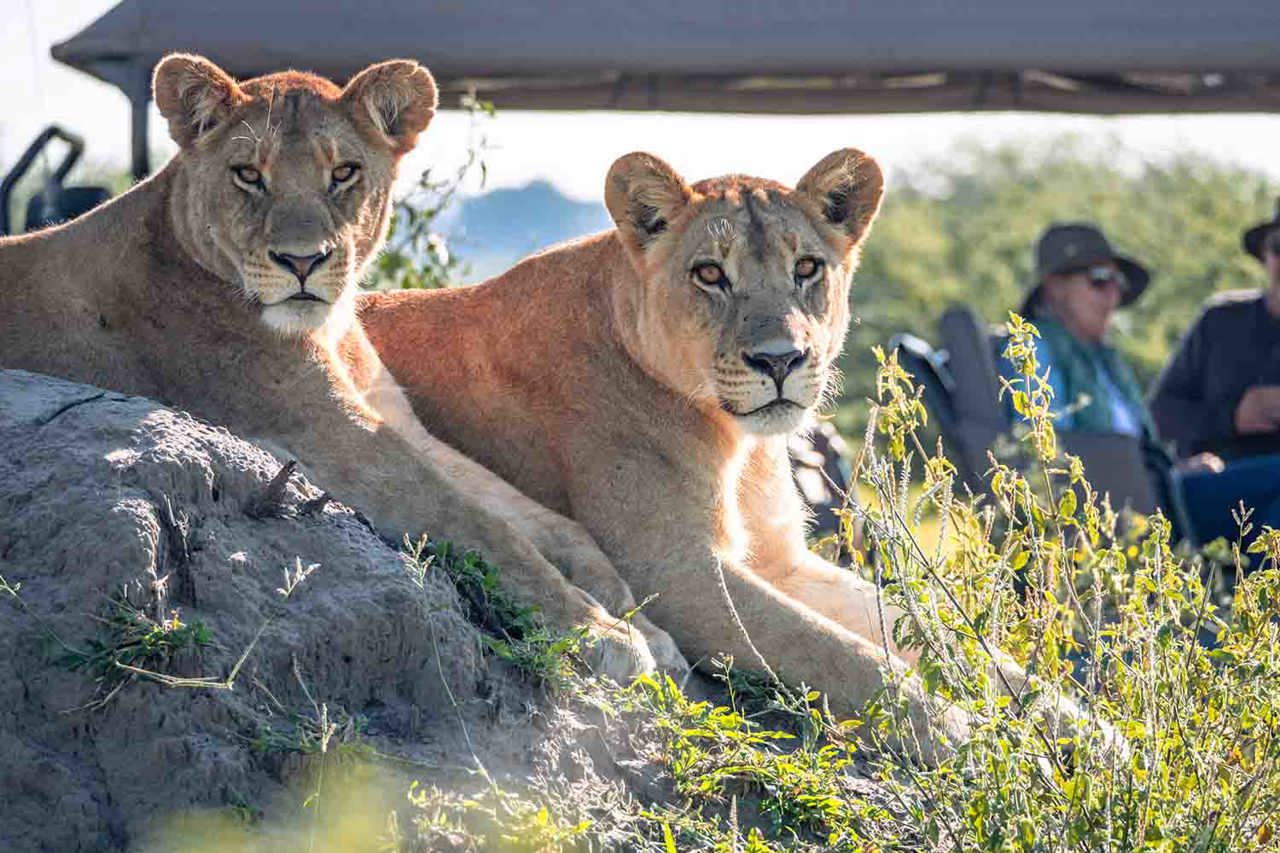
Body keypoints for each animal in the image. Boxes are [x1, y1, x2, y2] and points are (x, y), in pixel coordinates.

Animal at [0, 54, 683, 681]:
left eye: (344, 172)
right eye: (248, 174)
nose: (303, 261)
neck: (326, 329)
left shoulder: (395, 421)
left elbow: (548, 522)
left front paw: (645, 626)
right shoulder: (323, 429)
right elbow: (476, 523)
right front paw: (603, 633)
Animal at [358, 150, 980, 752]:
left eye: (806, 268)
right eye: (709, 273)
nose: (780, 360)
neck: (739, 444)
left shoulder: (783, 561)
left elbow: (925, 624)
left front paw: (1001, 694)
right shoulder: (676, 571)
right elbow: (842, 656)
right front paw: (960, 729)